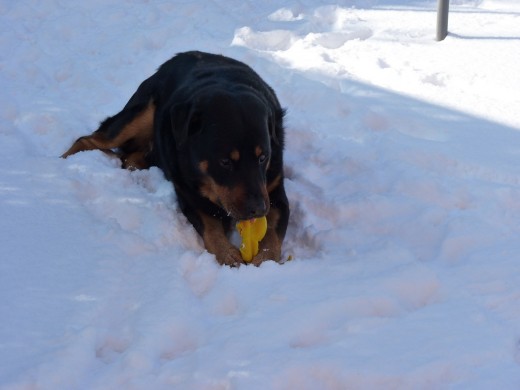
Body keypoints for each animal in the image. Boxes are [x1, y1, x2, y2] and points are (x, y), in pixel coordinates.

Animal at [62, 50, 288, 266]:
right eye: (225, 162)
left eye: (263, 157)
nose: (258, 210)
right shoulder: (188, 192)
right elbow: (210, 227)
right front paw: (227, 254)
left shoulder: (274, 192)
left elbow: (273, 230)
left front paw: (266, 258)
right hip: (143, 112)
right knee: (89, 140)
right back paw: (62, 163)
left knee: (132, 155)